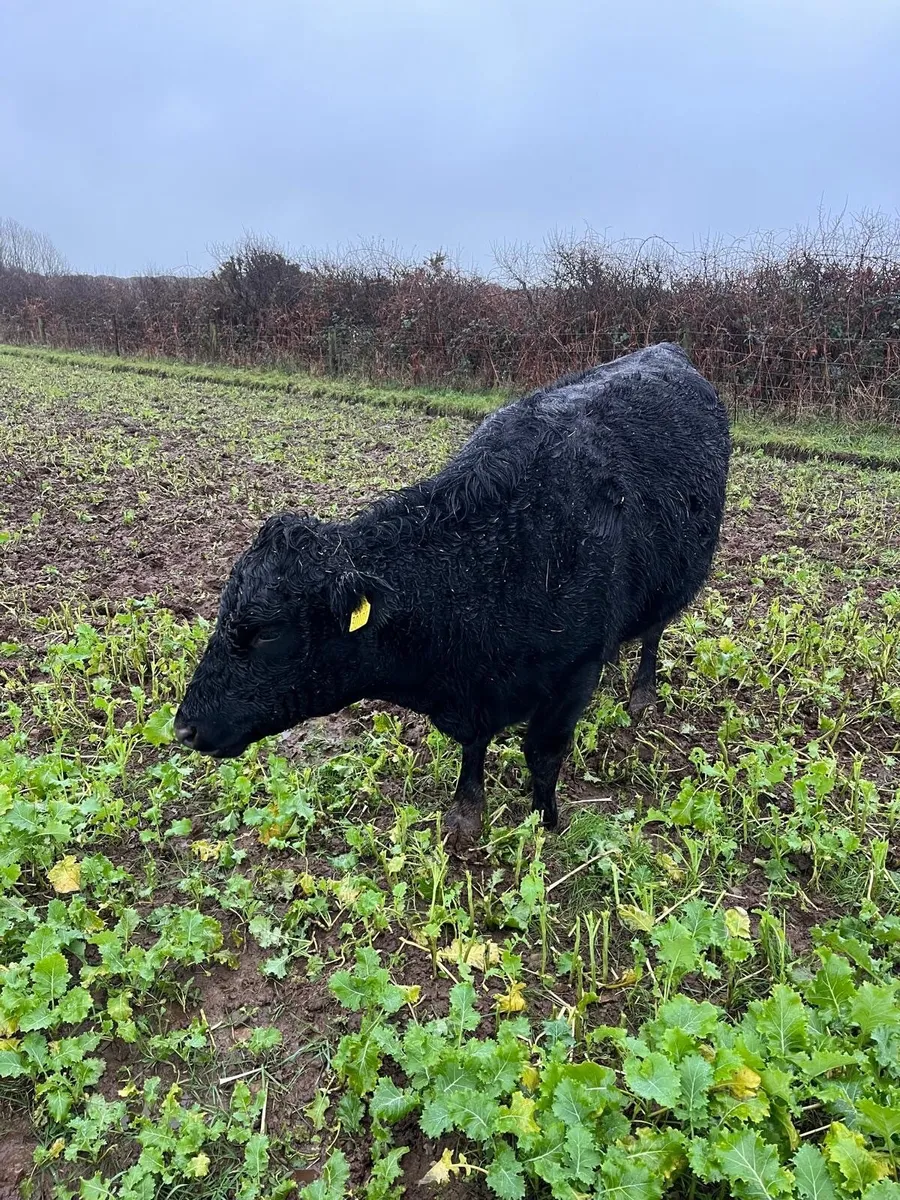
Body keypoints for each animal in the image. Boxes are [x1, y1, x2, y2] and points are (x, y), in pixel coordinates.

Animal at [175, 343, 730, 849]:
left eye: (267, 633)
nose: (183, 728)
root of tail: (667, 351)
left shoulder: (574, 670)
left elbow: (543, 753)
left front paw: (544, 821)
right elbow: (475, 748)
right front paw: (465, 813)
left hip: (678, 579)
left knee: (653, 633)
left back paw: (642, 694)